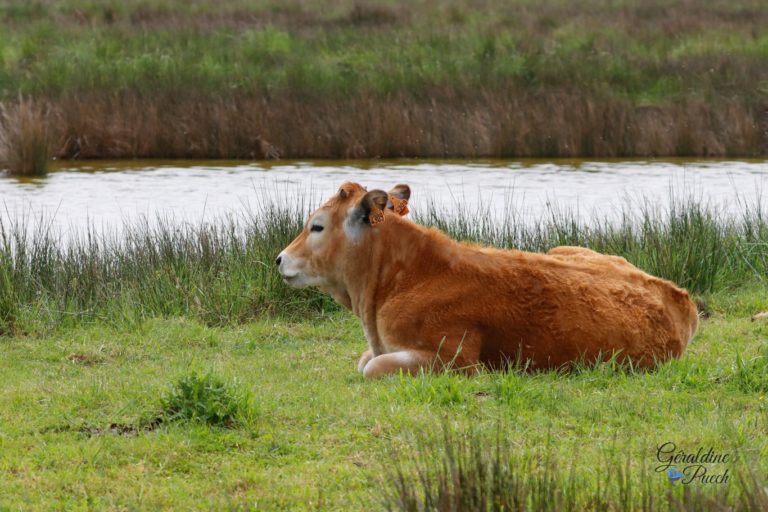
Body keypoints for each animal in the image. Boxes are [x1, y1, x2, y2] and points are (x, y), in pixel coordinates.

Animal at [278, 182, 704, 378]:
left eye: (317, 226)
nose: (279, 258)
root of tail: (678, 295)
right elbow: (364, 360)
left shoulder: (454, 360)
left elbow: (370, 367)